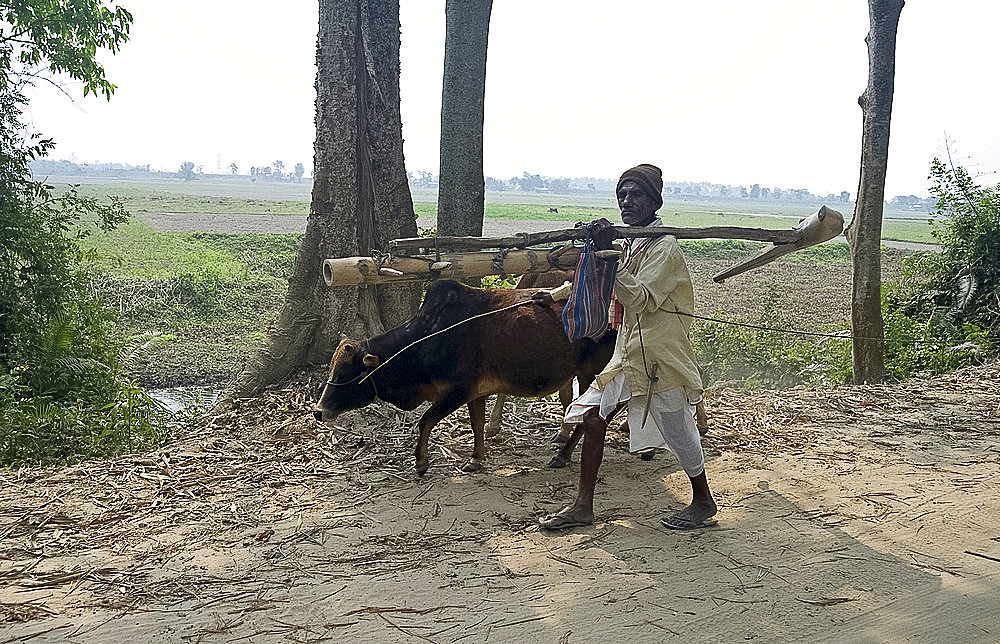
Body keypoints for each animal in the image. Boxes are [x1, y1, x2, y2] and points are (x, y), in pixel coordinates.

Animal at [312, 280, 612, 476]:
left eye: (344, 373)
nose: (318, 411)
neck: (427, 337)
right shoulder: (475, 393)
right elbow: (477, 425)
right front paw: (476, 460)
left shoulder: (457, 391)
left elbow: (426, 420)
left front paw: (421, 462)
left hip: (590, 371)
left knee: (592, 413)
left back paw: (562, 455)